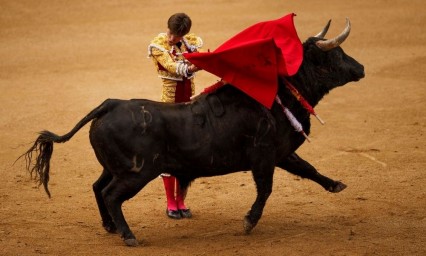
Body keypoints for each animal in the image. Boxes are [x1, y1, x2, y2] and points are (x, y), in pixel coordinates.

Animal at [21, 19, 364, 247]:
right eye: (335, 55)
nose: (361, 68)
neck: (280, 94)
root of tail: (110, 103)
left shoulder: (281, 153)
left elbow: (308, 169)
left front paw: (336, 185)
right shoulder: (264, 156)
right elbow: (265, 190)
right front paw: (248, 222)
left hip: (116, 167)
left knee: (97, 187)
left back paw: (111, 227)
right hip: (136, 173)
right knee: (111, 195)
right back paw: (129, 236)